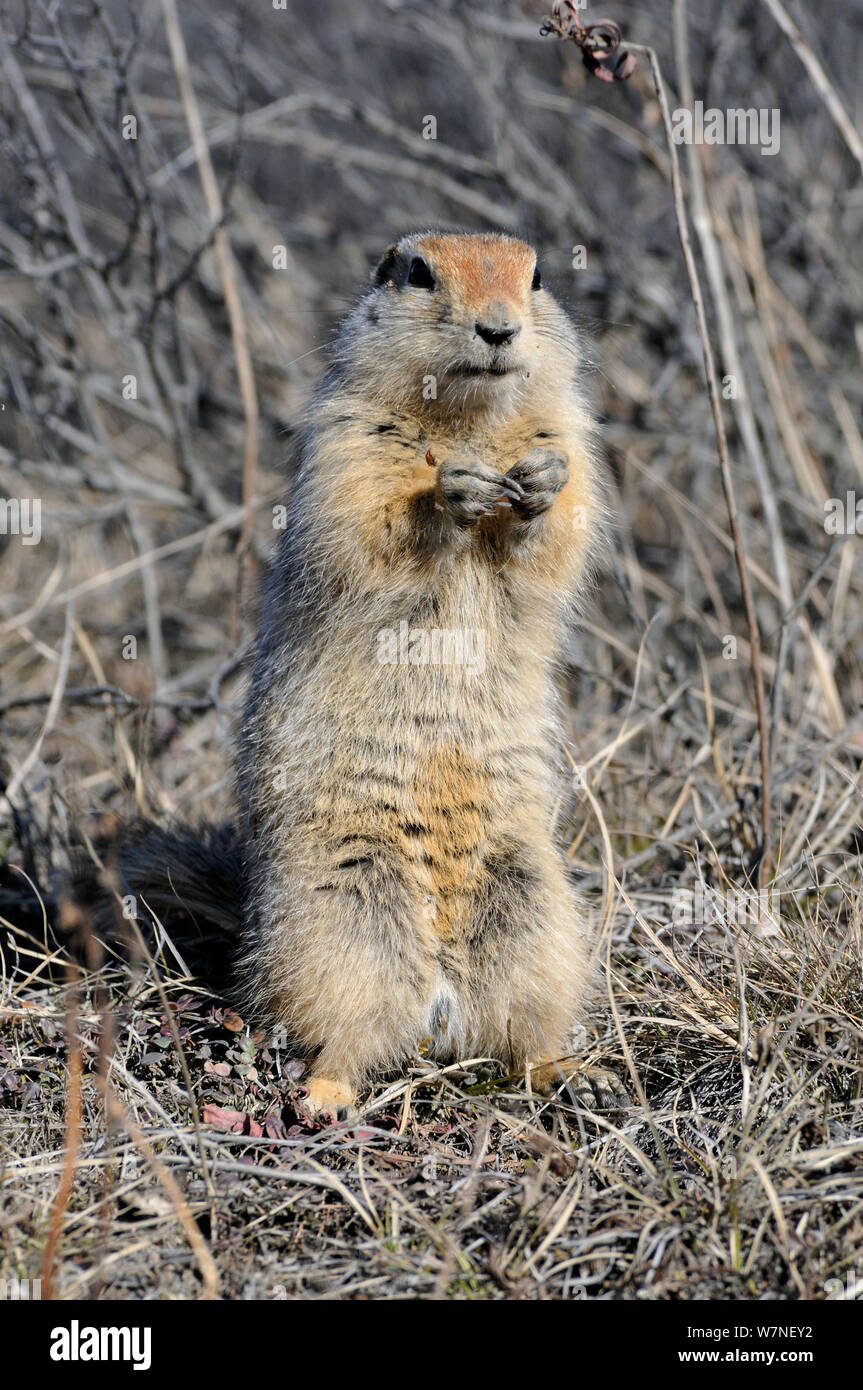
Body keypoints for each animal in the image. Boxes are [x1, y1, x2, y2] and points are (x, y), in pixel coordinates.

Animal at [233, 227, 600, 1117]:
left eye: (538, 275)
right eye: (417, 272)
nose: (499, 329)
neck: (467, 420)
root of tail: (441, 991)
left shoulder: (571, 432)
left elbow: (562, 526)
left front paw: (539, 485)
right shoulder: (346, 447)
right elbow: (368, 525)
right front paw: (447, 492)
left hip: (533, 908)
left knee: (521, 1027)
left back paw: (569, 1070)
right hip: (341, 916)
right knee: (347, 1027)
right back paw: (325, 1095)